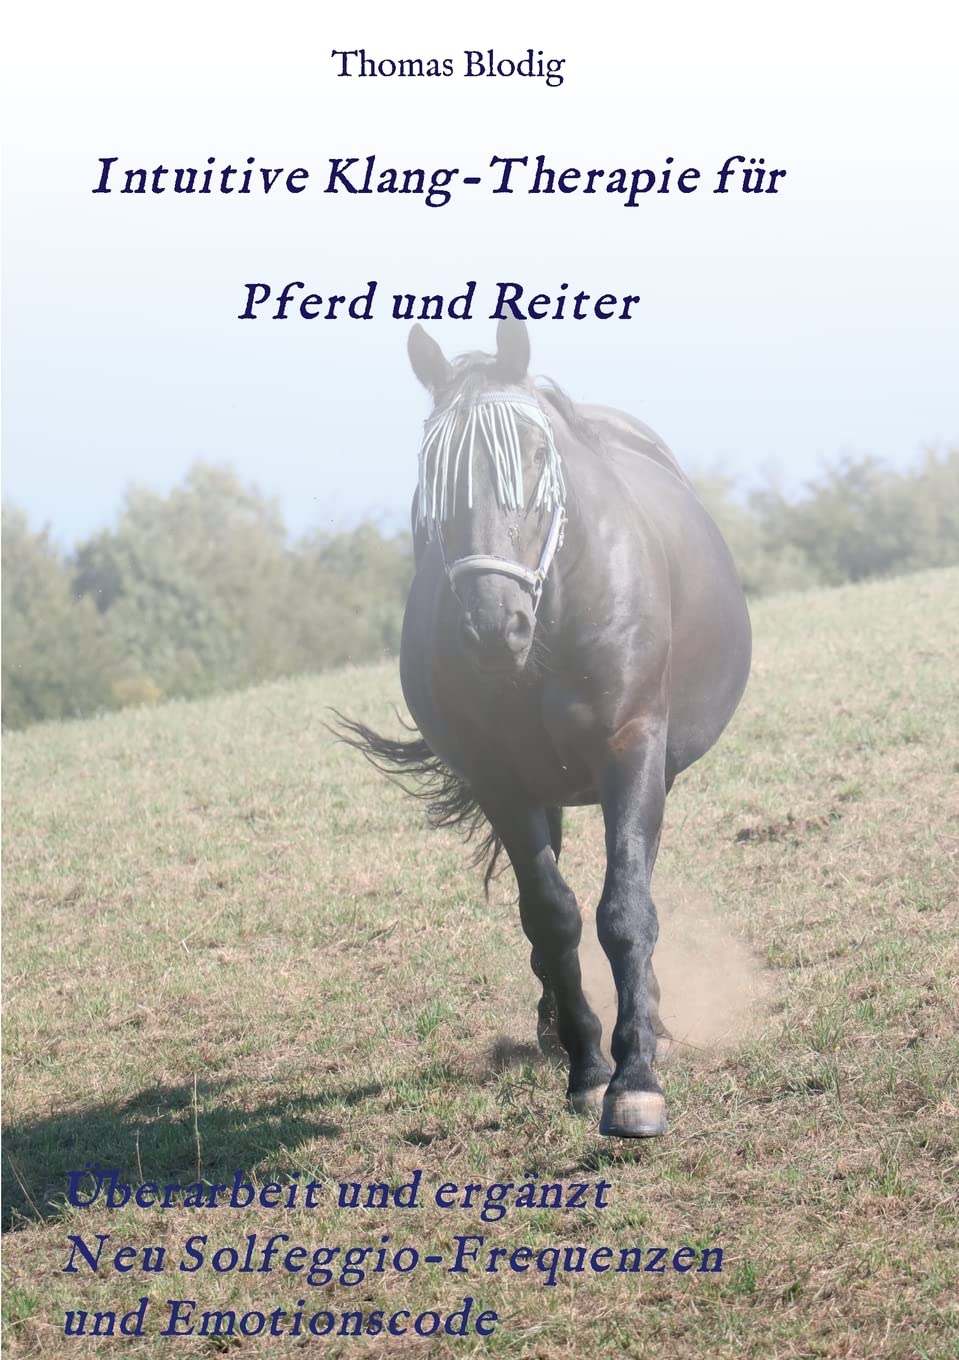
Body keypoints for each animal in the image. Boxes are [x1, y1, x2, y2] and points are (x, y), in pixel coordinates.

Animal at [338, 318, 751, 1137]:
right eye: (433, 474)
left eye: (534, 455)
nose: (491, 625)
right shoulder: (501, 781)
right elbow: (551, 915)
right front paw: (588, 1065)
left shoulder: (632, 750)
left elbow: (624, 908)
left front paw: (635, 1078)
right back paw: (556, 1025)